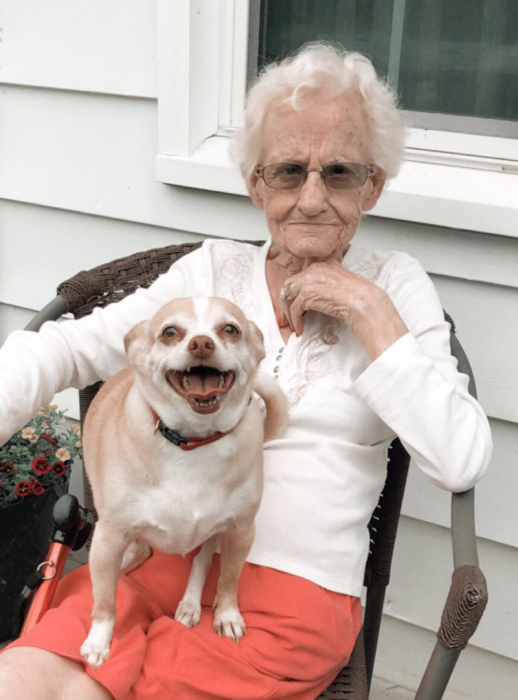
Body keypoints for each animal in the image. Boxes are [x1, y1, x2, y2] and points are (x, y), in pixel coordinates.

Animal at [79, 296, 287, 668]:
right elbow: (104, 600)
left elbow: (229, 579)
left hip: (215, 533)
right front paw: (100, 640)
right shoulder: (108, 535)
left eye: (230, 329)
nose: (201, 343)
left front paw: (228, 615)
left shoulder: (241, 531)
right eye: (170, 332)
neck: (194, 442)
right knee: (136, 553)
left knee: (201, 560)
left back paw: (190, 604)